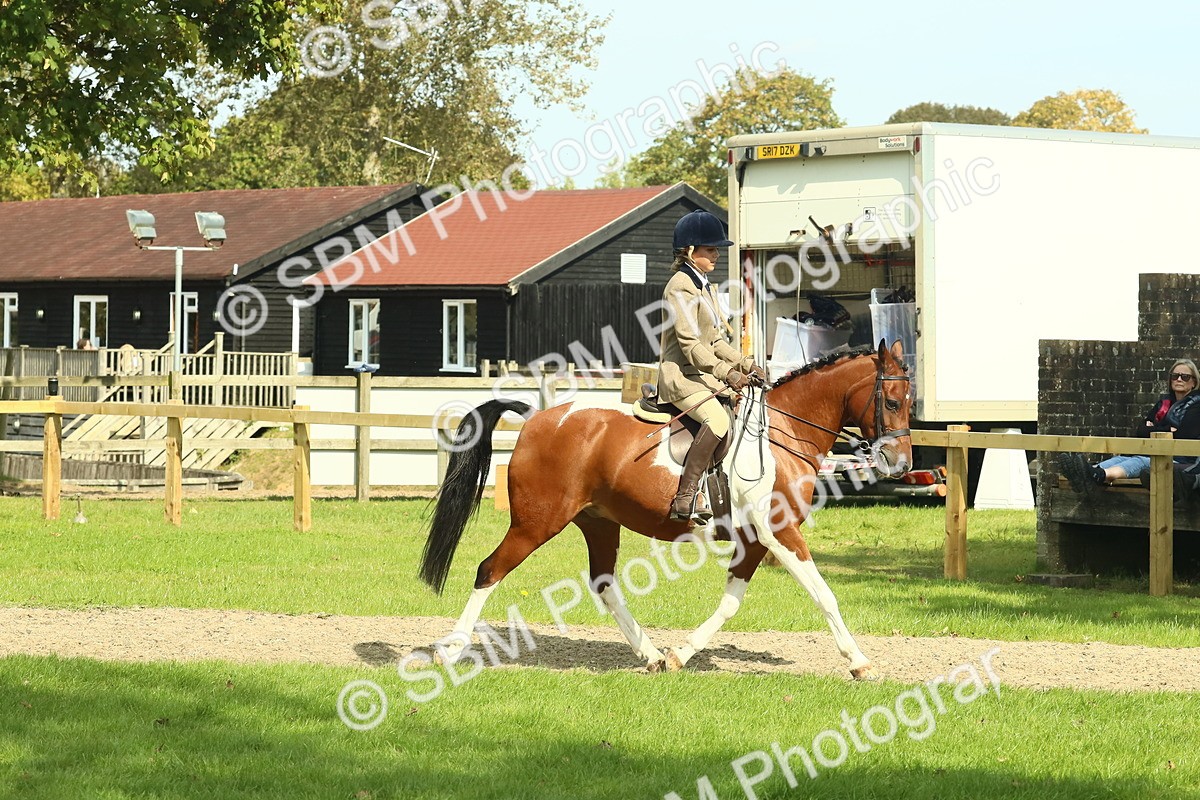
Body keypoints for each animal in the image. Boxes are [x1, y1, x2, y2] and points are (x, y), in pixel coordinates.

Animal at [419, 339, 912, 679]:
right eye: (891, 401)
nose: (902, 463)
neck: (783, 432)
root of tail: (538, 417)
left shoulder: (754, 540)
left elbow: (730, 604)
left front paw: (679, 654)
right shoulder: (780, 533)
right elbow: (824, 594)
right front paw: (860, 663)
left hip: (598, 522)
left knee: (603, 584)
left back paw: (652, 654)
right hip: (536, 523)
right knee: (489, 570)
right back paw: (451, 650)